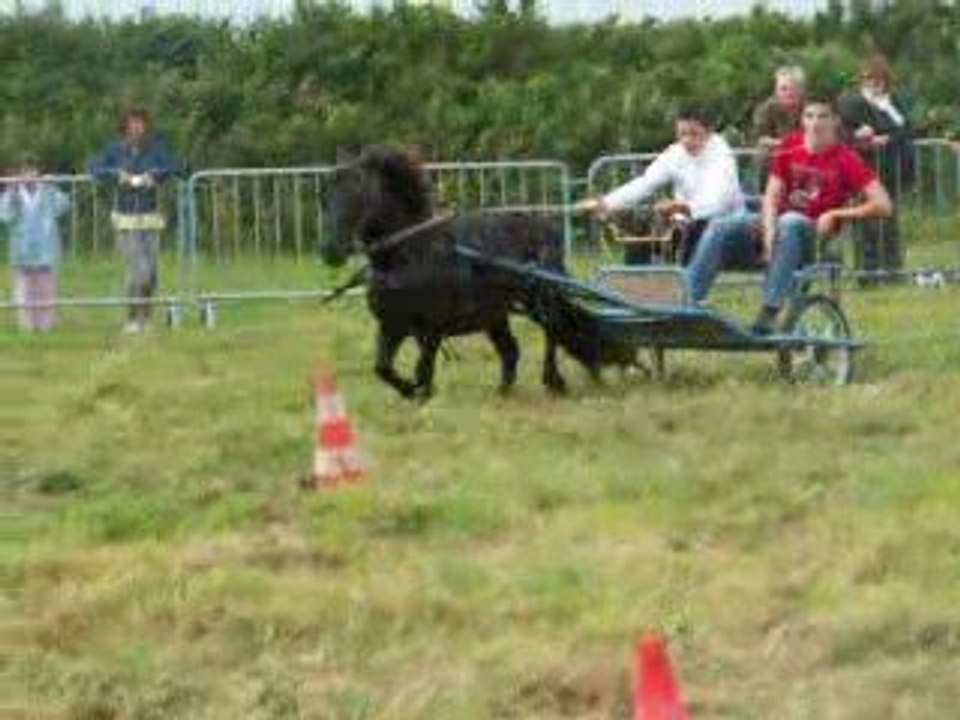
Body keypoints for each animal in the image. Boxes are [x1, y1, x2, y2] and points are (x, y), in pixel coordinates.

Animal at [322, 145, 633, 400]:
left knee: (552, 333)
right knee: (511, 350)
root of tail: (544, 226)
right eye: (328, 194)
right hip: (496, 313)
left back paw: (554, 381)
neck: (409, 253)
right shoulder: (392, 325)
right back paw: (503, 392)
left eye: (357, 192)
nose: (329, 251)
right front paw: (412, 392)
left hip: (540, 300)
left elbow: (423, 367)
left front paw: (421, 392)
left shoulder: (432, 328)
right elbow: (383, 368)